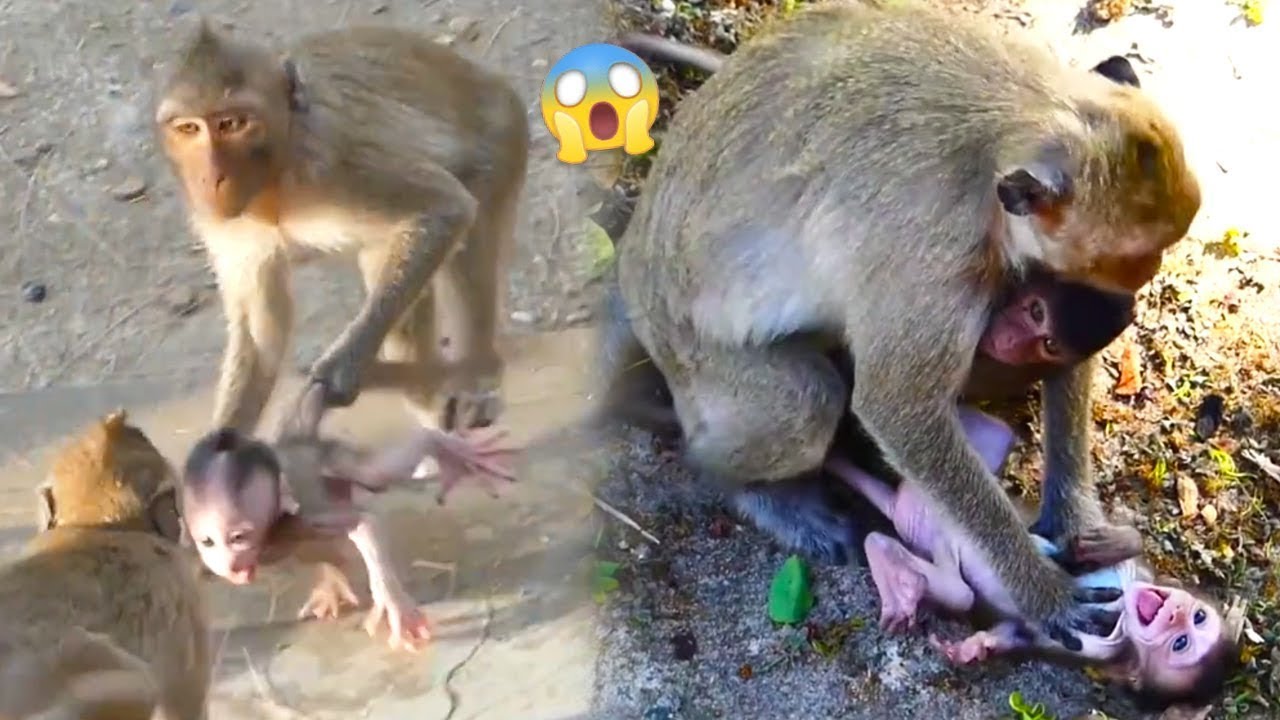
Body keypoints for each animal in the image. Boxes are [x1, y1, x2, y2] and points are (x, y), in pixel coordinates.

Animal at [155, 20, 530, 438]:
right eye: (188, 128)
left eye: (232, 123)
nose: (211, 178)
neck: (274, 179)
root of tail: (490, 83)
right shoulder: (223, 224)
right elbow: (261, 329)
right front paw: (223, 440)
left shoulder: (334, 160)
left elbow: (445, 208)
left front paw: (338, 374)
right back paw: (426, 397)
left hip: (501, 147)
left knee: (466, 239)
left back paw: (474, 378)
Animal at [179, 383, 517, 651]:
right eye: (207, 542)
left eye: (238, 537)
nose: (229, 563)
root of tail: (291, 442)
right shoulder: (188, 552)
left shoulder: (299, 521)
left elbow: (363, 523)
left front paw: (393, 602)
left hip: (329, 458)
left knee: (373, 474)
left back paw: (443, 446)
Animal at [608, 0, 1199, 651]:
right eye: (1133, 257)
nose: (1137, 286)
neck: (1024, 112)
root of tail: (630, 272)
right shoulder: (933, 246)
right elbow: (898, 406)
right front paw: (1041, 592)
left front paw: (1074, 518)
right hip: (691, 356)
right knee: (805, 403)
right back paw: (748, 487)